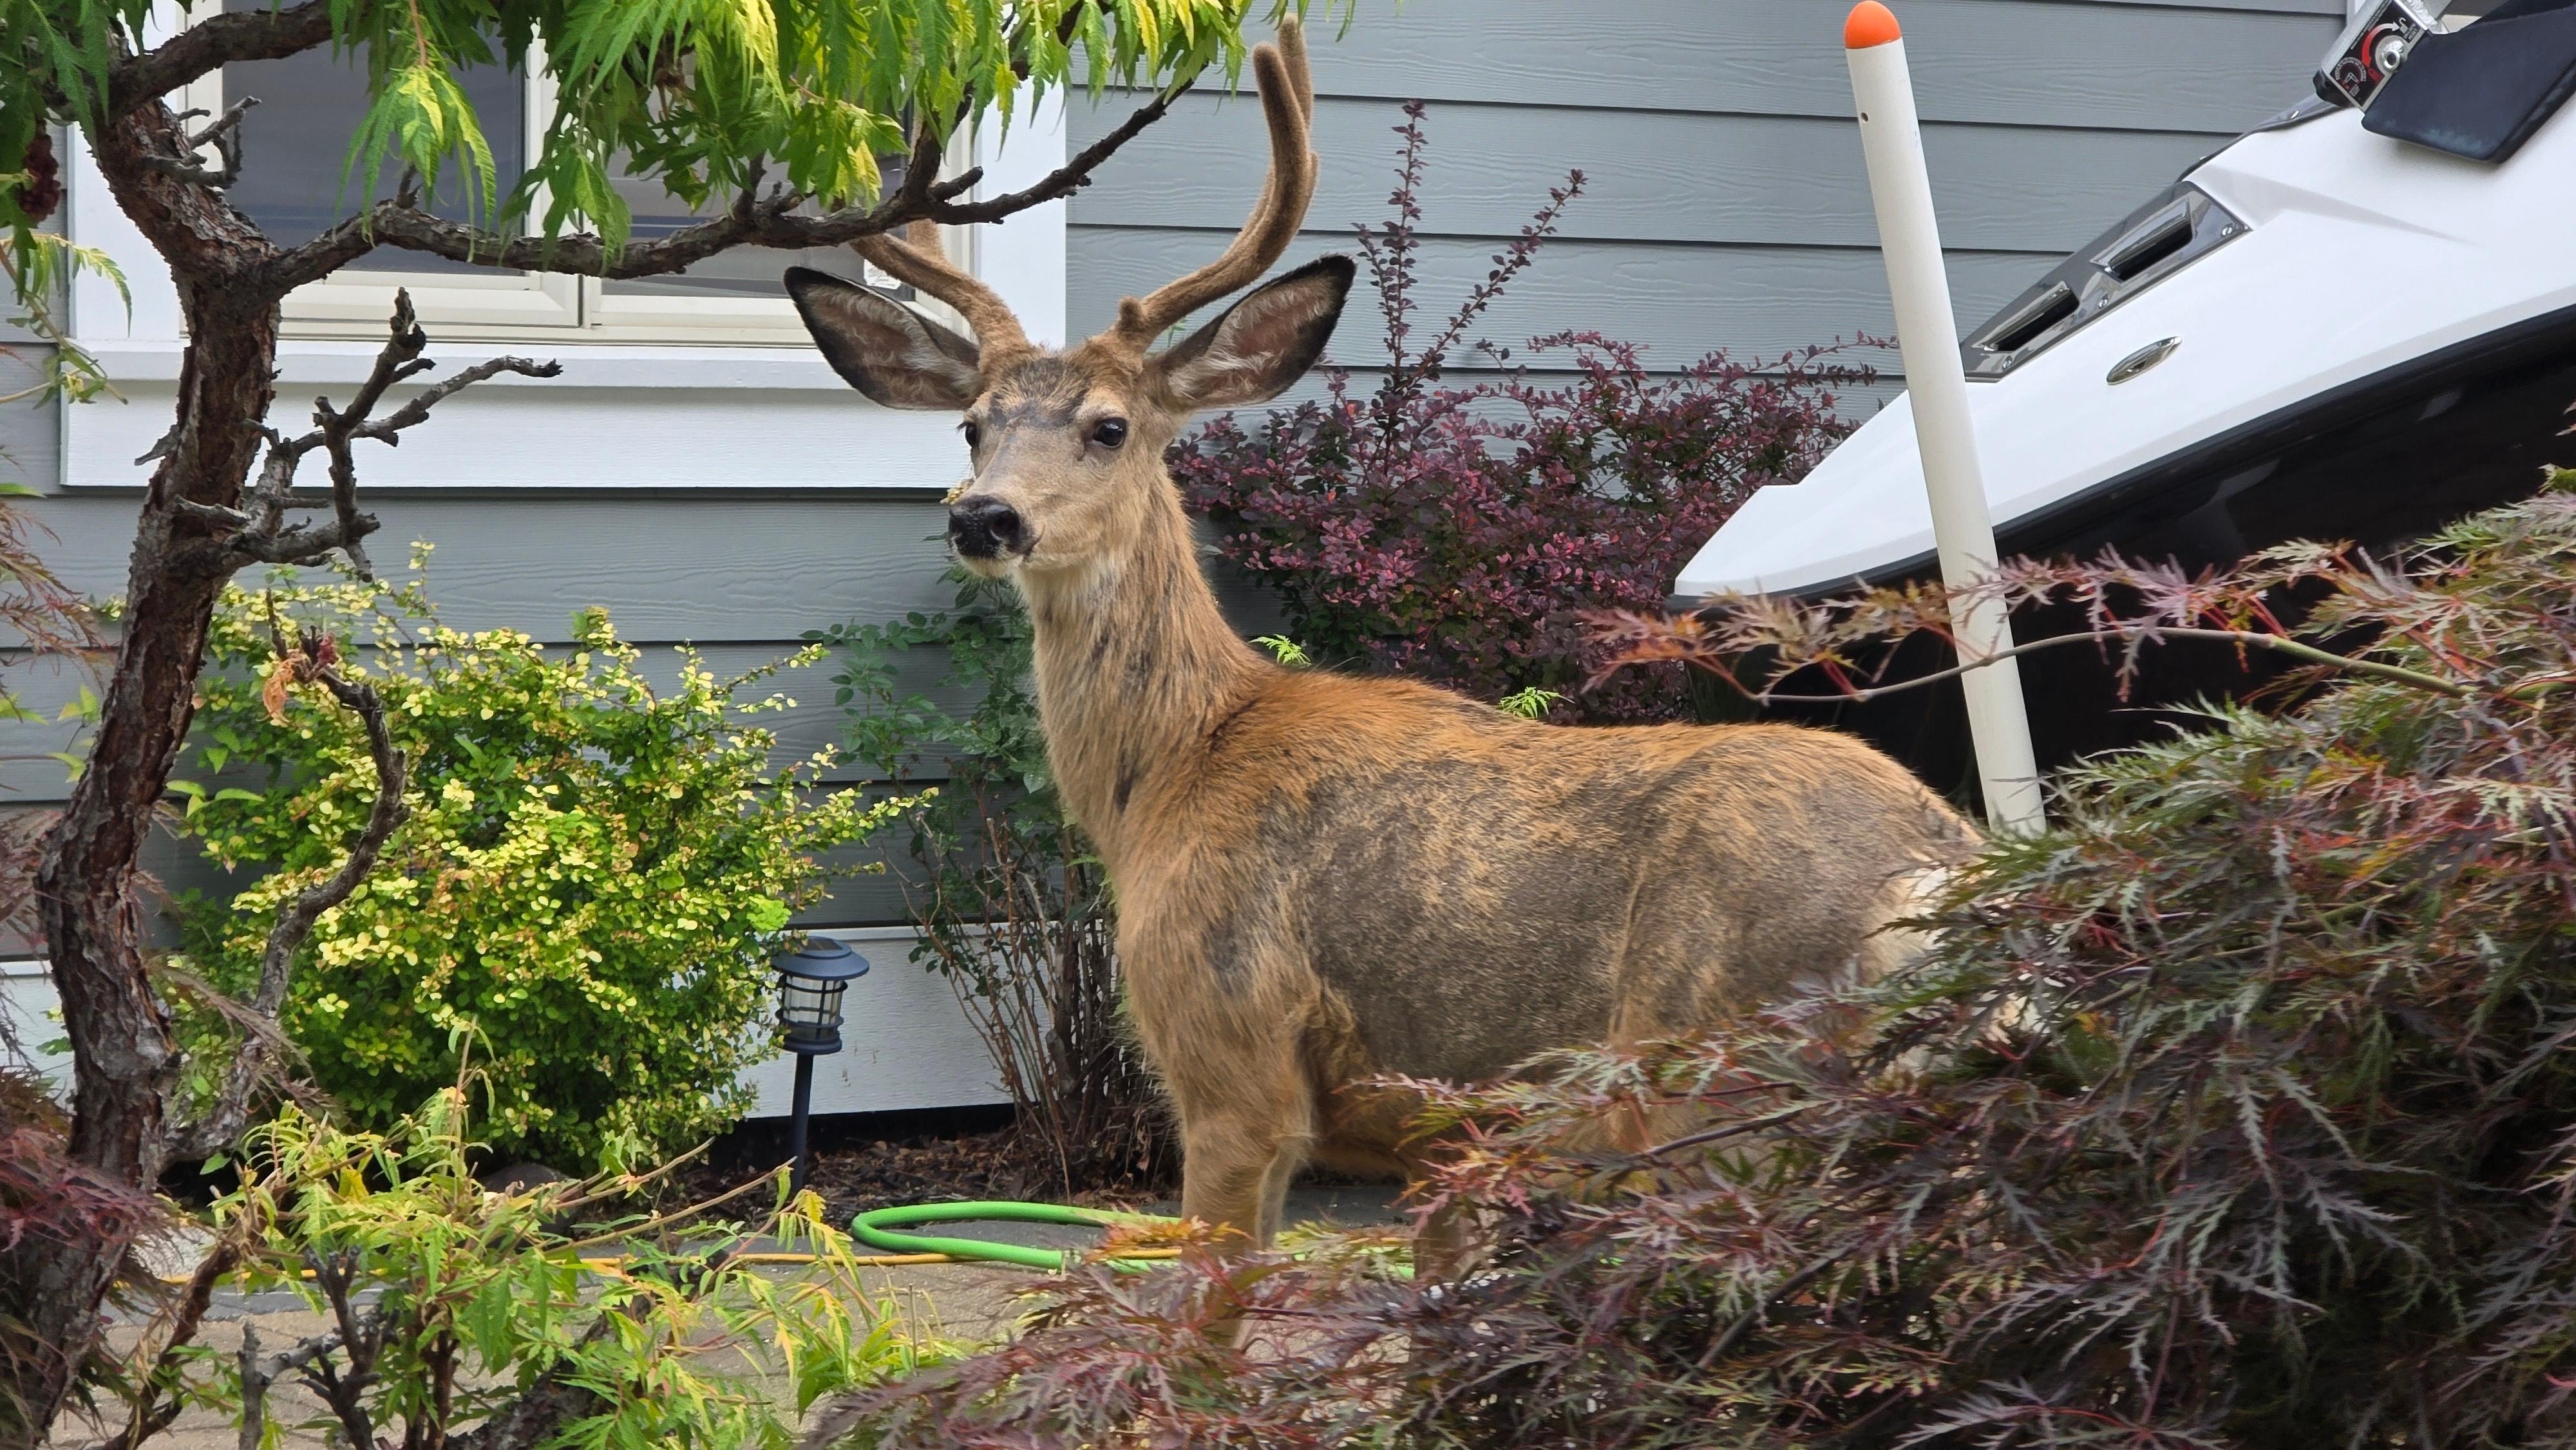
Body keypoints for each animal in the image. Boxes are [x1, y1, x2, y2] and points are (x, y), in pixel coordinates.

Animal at [785, 17, 1978, 1257]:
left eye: (1110, 427)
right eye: (973, 425)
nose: (984, 516)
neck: (1172, 769)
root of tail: (1940, 873)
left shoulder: (1231, 1060)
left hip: (1715, 1079)